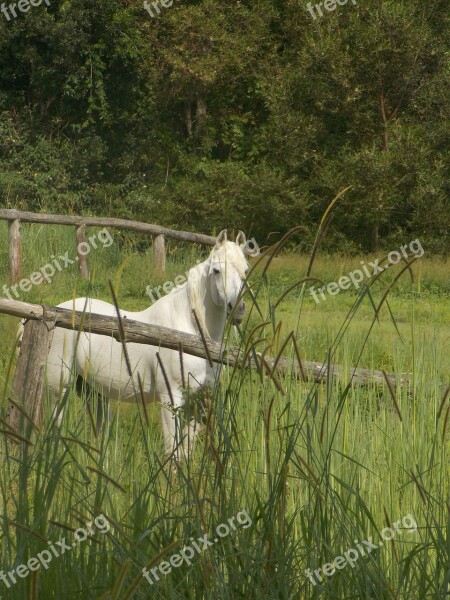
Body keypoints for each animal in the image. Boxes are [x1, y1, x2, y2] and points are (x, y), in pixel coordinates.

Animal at [44, 229, 250, 454]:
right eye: (216, 270)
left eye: (246, 270)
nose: (238, 310)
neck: (190, 333)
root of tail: (59, 312)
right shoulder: (170, 399)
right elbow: (173, 451)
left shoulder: (197, 402)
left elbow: (186, 452)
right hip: (59, 387)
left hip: (92, 390)